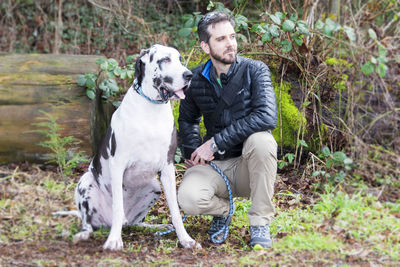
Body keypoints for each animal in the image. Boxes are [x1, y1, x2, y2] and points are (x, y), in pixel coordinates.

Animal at [55, 44, 199, 251]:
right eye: (165, 59)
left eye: (180, 59)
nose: (189, 75)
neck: (151, 108)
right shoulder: (118, 165)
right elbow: (117, 206)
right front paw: (114, 240)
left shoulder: (168, 168)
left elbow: (175, 210)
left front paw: (185, 238)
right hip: (85, 181)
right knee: (90, 223)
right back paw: (84, 234)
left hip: (155, 187)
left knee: (134, 222)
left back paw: (154, 226)